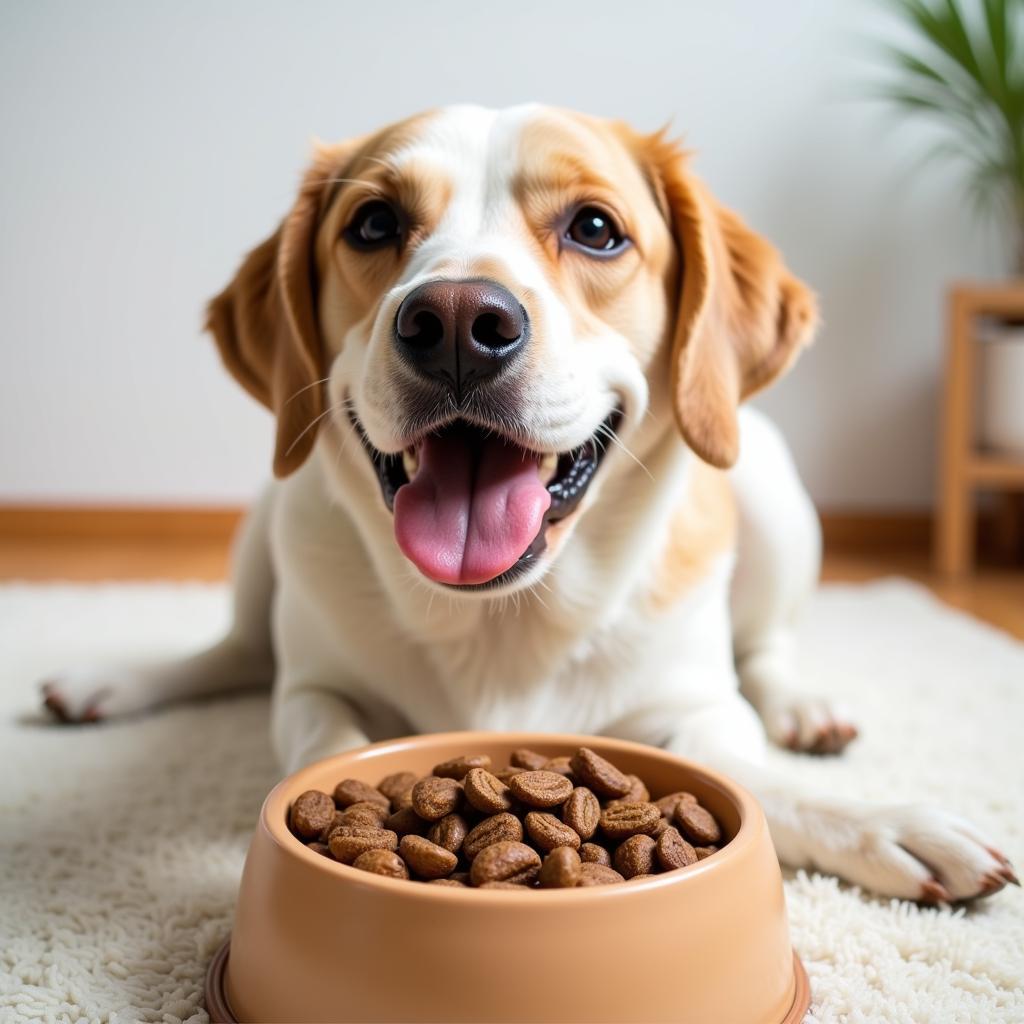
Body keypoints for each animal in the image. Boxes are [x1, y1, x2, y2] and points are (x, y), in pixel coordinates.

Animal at [41, 105, 1015, 905]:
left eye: (595, 229)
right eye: (374, 223)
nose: (456, 323)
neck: (500, 620)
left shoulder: (701, 705)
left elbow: (751, 773)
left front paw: (880, 823)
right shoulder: (314, 688)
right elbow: (325, 741)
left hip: (771, 491)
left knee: (769, 648)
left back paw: (807, 709)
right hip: (267, 524)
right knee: (238, 650)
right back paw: (108, 683)